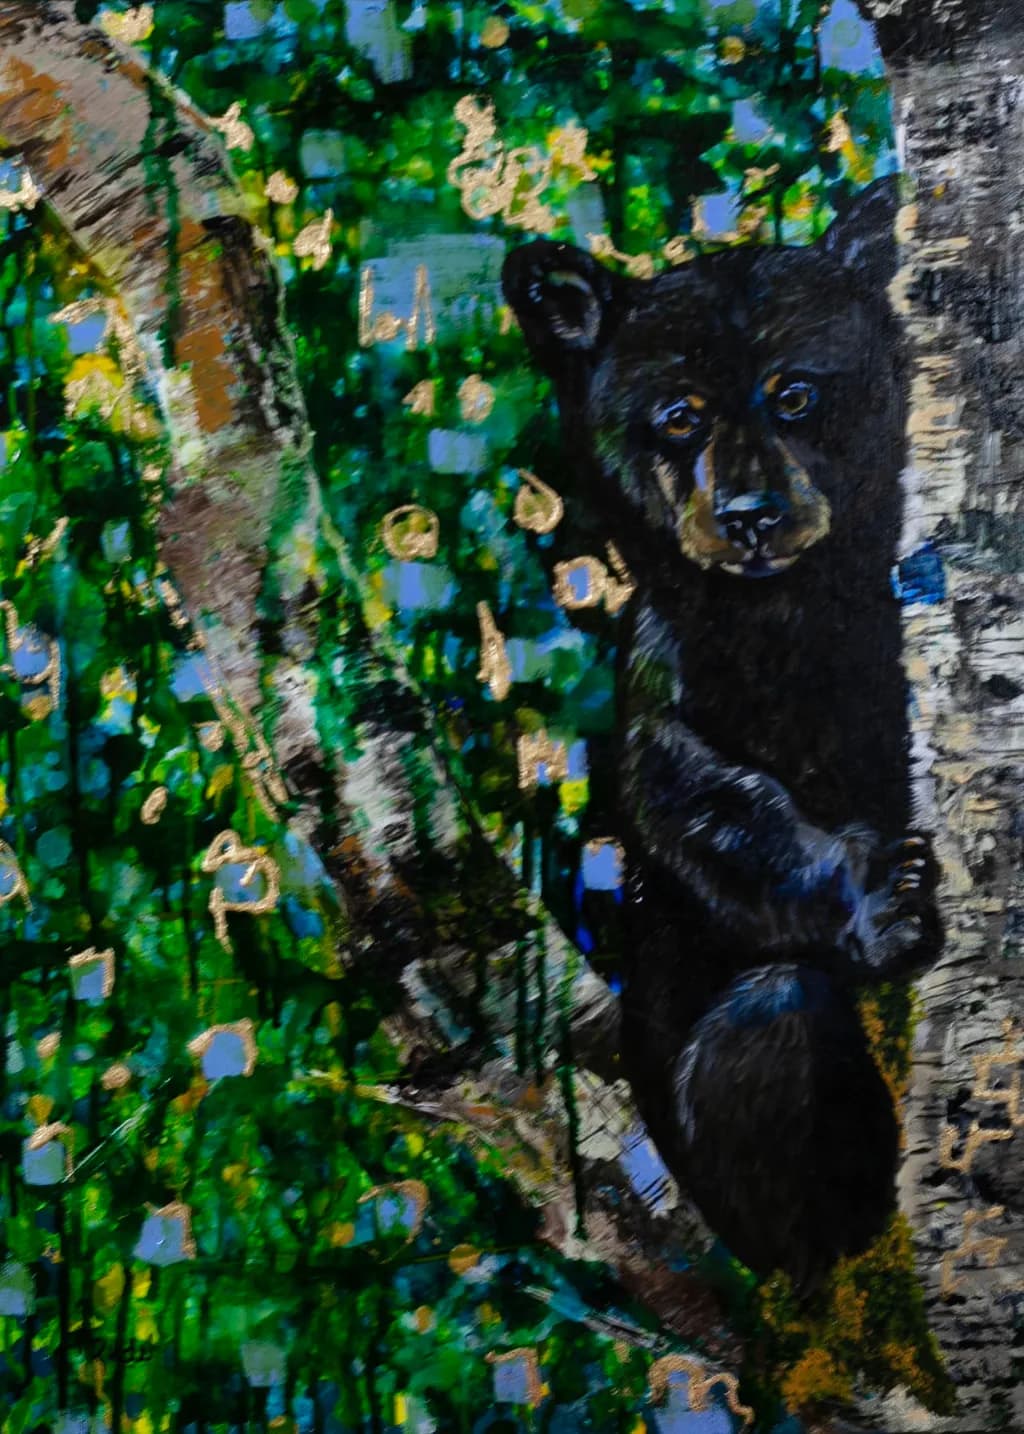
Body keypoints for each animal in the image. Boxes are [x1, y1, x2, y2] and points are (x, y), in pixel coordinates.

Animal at [502, 177, 942, 1294]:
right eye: (678, 415)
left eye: (796, 395)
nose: (747, 515)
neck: (787, 616)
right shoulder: (664, 676)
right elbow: (702, 803)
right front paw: (881, 899)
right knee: (772, 1016)